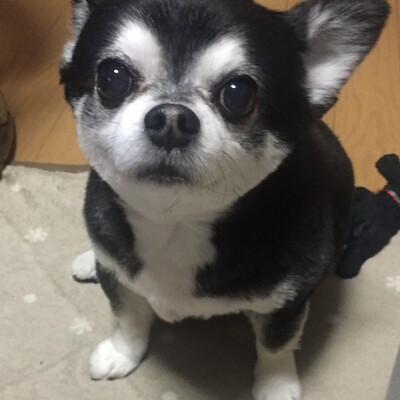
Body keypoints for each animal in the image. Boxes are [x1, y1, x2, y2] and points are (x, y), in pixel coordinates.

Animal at [60, 0, 389, 398]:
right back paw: (89, 260)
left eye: (238, 94)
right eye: (111, 77)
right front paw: (121, 353)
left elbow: (276, 346)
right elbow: (127, 314)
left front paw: (276, 386)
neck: (174, 223)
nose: (171, 117)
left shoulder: (286, 303)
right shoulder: (120, 278)